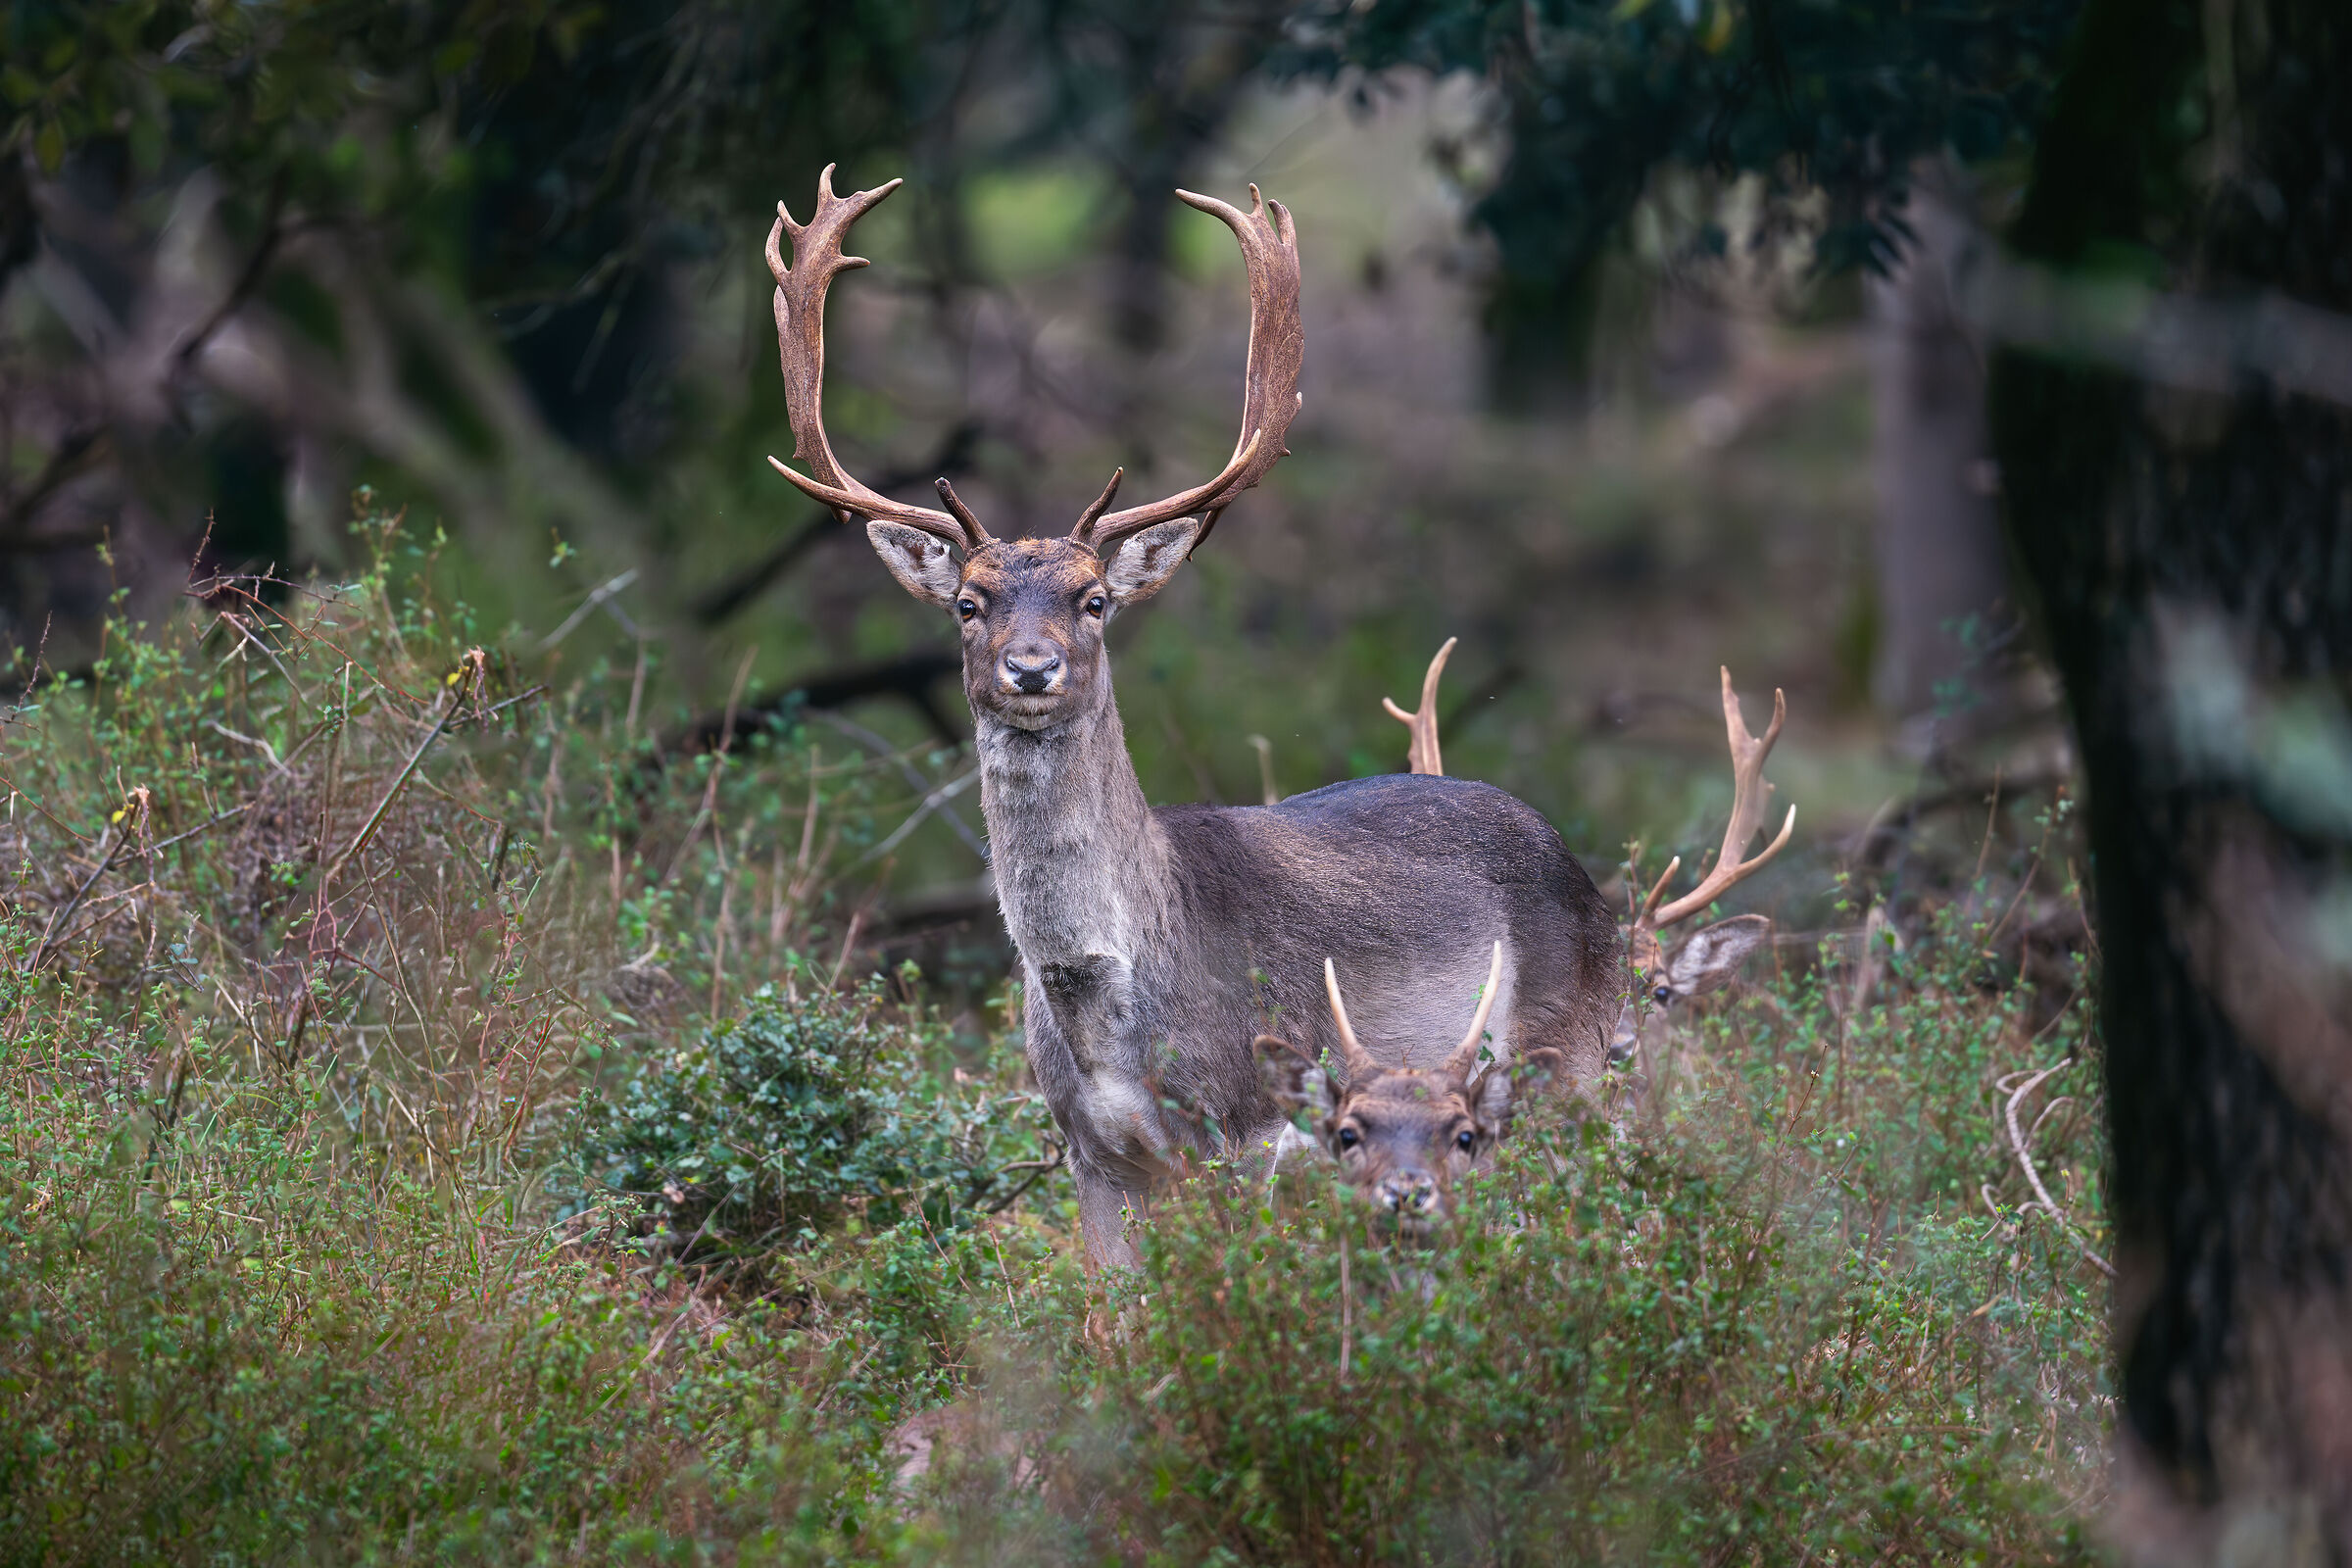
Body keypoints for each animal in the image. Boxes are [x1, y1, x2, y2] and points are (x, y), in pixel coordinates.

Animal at [760, 167, 1622, 1271]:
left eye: (1094, 599)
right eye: (969, 603)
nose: (1031, 668)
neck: (1110, 1006)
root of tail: (1585, 874)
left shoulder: (1236, 1130)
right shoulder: (1090, 1151)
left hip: (1569, 1059)